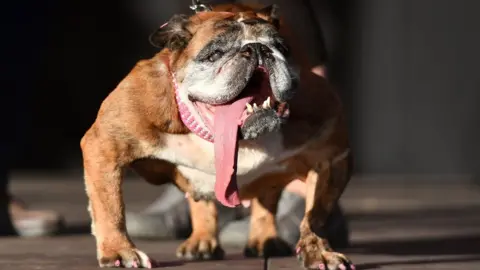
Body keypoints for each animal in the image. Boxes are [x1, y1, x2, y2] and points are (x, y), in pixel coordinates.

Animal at [80, 2, 354, 270]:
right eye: (214, 54)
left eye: (281, 48)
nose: (257, 48)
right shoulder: (105, 146)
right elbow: (111, 207)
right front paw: (119, 251)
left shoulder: (330, 155)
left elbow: (316, 215)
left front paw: (319, 252)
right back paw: (202, 242)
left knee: (267, 200)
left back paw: (264, 240)